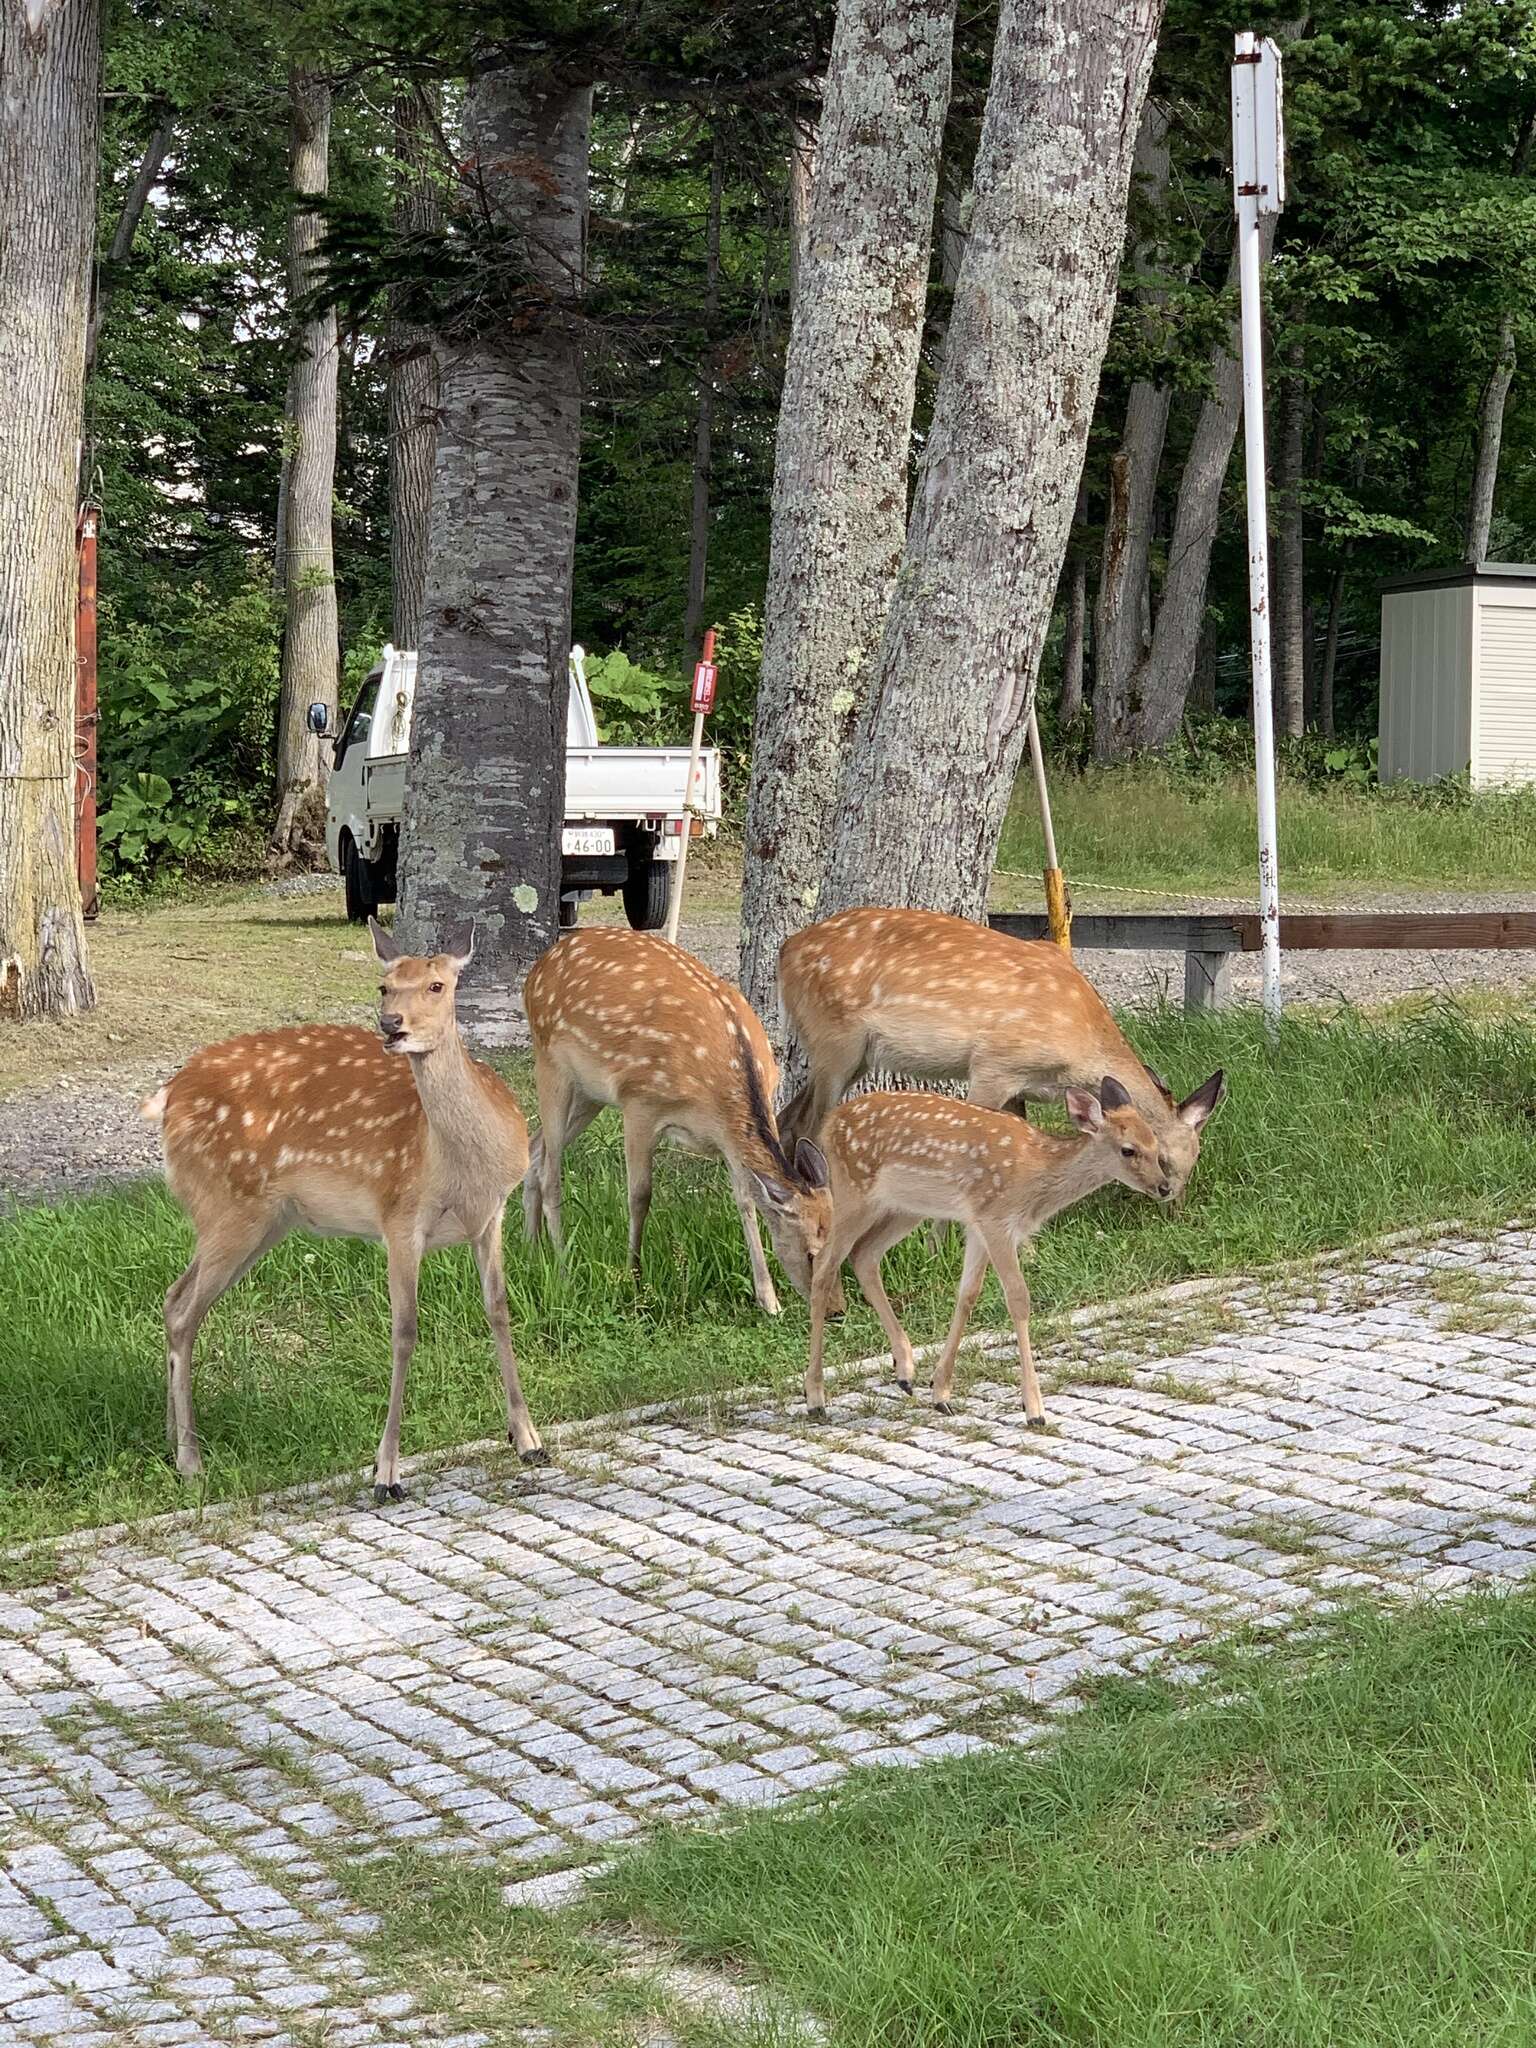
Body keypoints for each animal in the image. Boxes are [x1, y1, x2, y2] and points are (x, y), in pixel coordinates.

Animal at [140, 921, 548, 1499]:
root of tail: (168, 1095)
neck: (463, 1167)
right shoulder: (398, 1215)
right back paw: (191, 1459)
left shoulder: (492, 1215)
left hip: (261, 1220)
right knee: (182, 1311)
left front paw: (529, 1440)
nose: (391, 1025)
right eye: (384, 986)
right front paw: (387, 1473)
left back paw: (171, 1440)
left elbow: (499, 1310)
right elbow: (405, 1331)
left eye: (437, 985)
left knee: (175, 1299)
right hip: (227, 1204)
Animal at [528, 929, 843, 1310]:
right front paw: (634, 1278)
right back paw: (562, 1267)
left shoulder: (729, 1140)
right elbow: (640, 1195)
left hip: (589, 1093)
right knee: (550, 1172)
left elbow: (746, 1200)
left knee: (535, 1148)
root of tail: (537, 968)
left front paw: (769, 1300)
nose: (836, 1310)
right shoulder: (640, 1102)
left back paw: (532, 1249)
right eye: (811, 1254)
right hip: (550, 1061)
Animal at [782, 905, 1228, 1179]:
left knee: (789, 1118)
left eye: (1196, 1159)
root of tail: (784, 953)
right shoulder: (995, 1064)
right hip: (836, 1039)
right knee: (810, 1122)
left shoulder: (1021, 1083)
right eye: (1162, 1158)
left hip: (853, 1055)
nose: (1171, 1200)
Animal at [806, 1073, 1212, 1425]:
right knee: (824, 1265)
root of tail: (828, 1124)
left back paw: (905, 1372)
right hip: (853, 1191)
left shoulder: (978, 1223)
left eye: (1156, 1144)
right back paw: (815, 1399)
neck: (1035, 1177)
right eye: (1128, 1150)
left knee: (864, 1256)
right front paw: (1034, 1409)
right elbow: (1018, 1297)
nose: (1163, 1187)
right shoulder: (997, 1220)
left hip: (904, 1207)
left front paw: (941, 1393)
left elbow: (967, 1295)